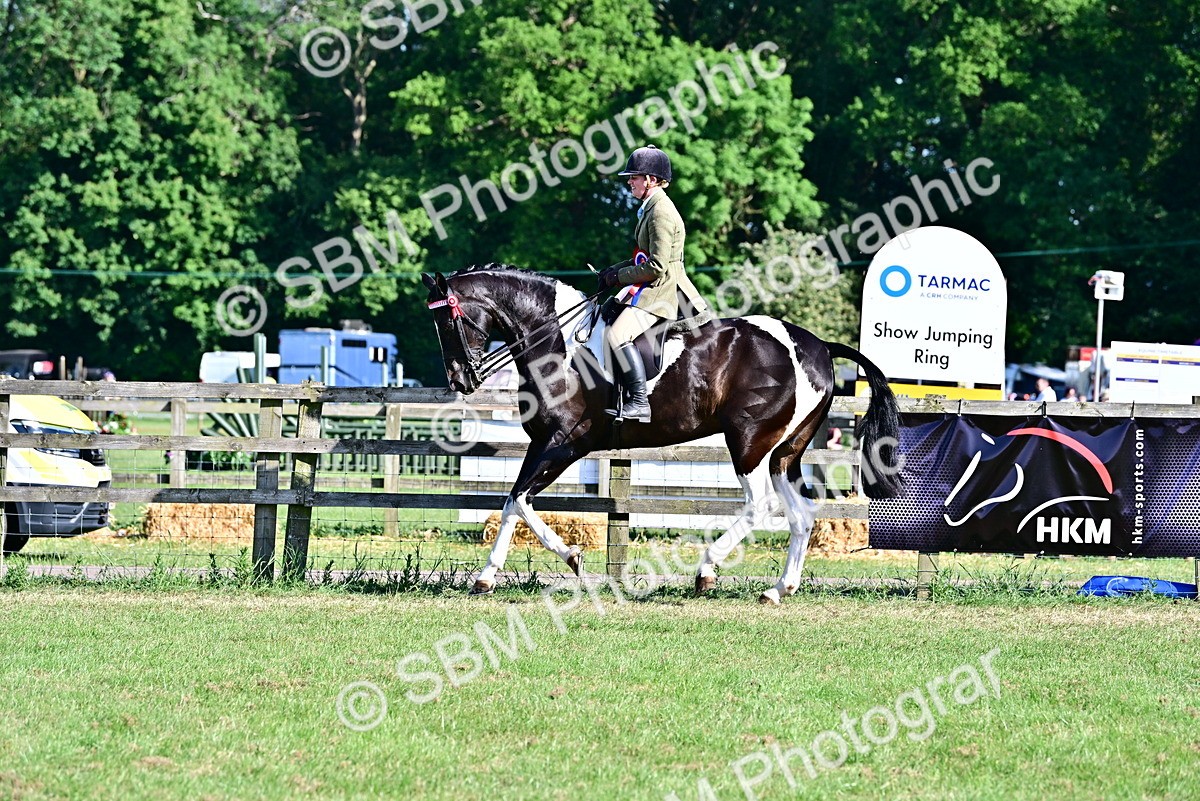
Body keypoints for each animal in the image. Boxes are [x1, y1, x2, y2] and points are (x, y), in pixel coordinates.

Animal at [422, 264, 903, 605]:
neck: (556, 342)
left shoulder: (565, 443)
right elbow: (510, 502)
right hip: (786, 452)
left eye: (448, 322)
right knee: (801, 514)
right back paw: (779, 588)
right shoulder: (543, 443)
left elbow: (520, 499)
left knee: (760, 505)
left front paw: (572, 557)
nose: (460, 379)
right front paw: (486, 577)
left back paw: (707, 570)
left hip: (749, 442)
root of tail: (817, 346)